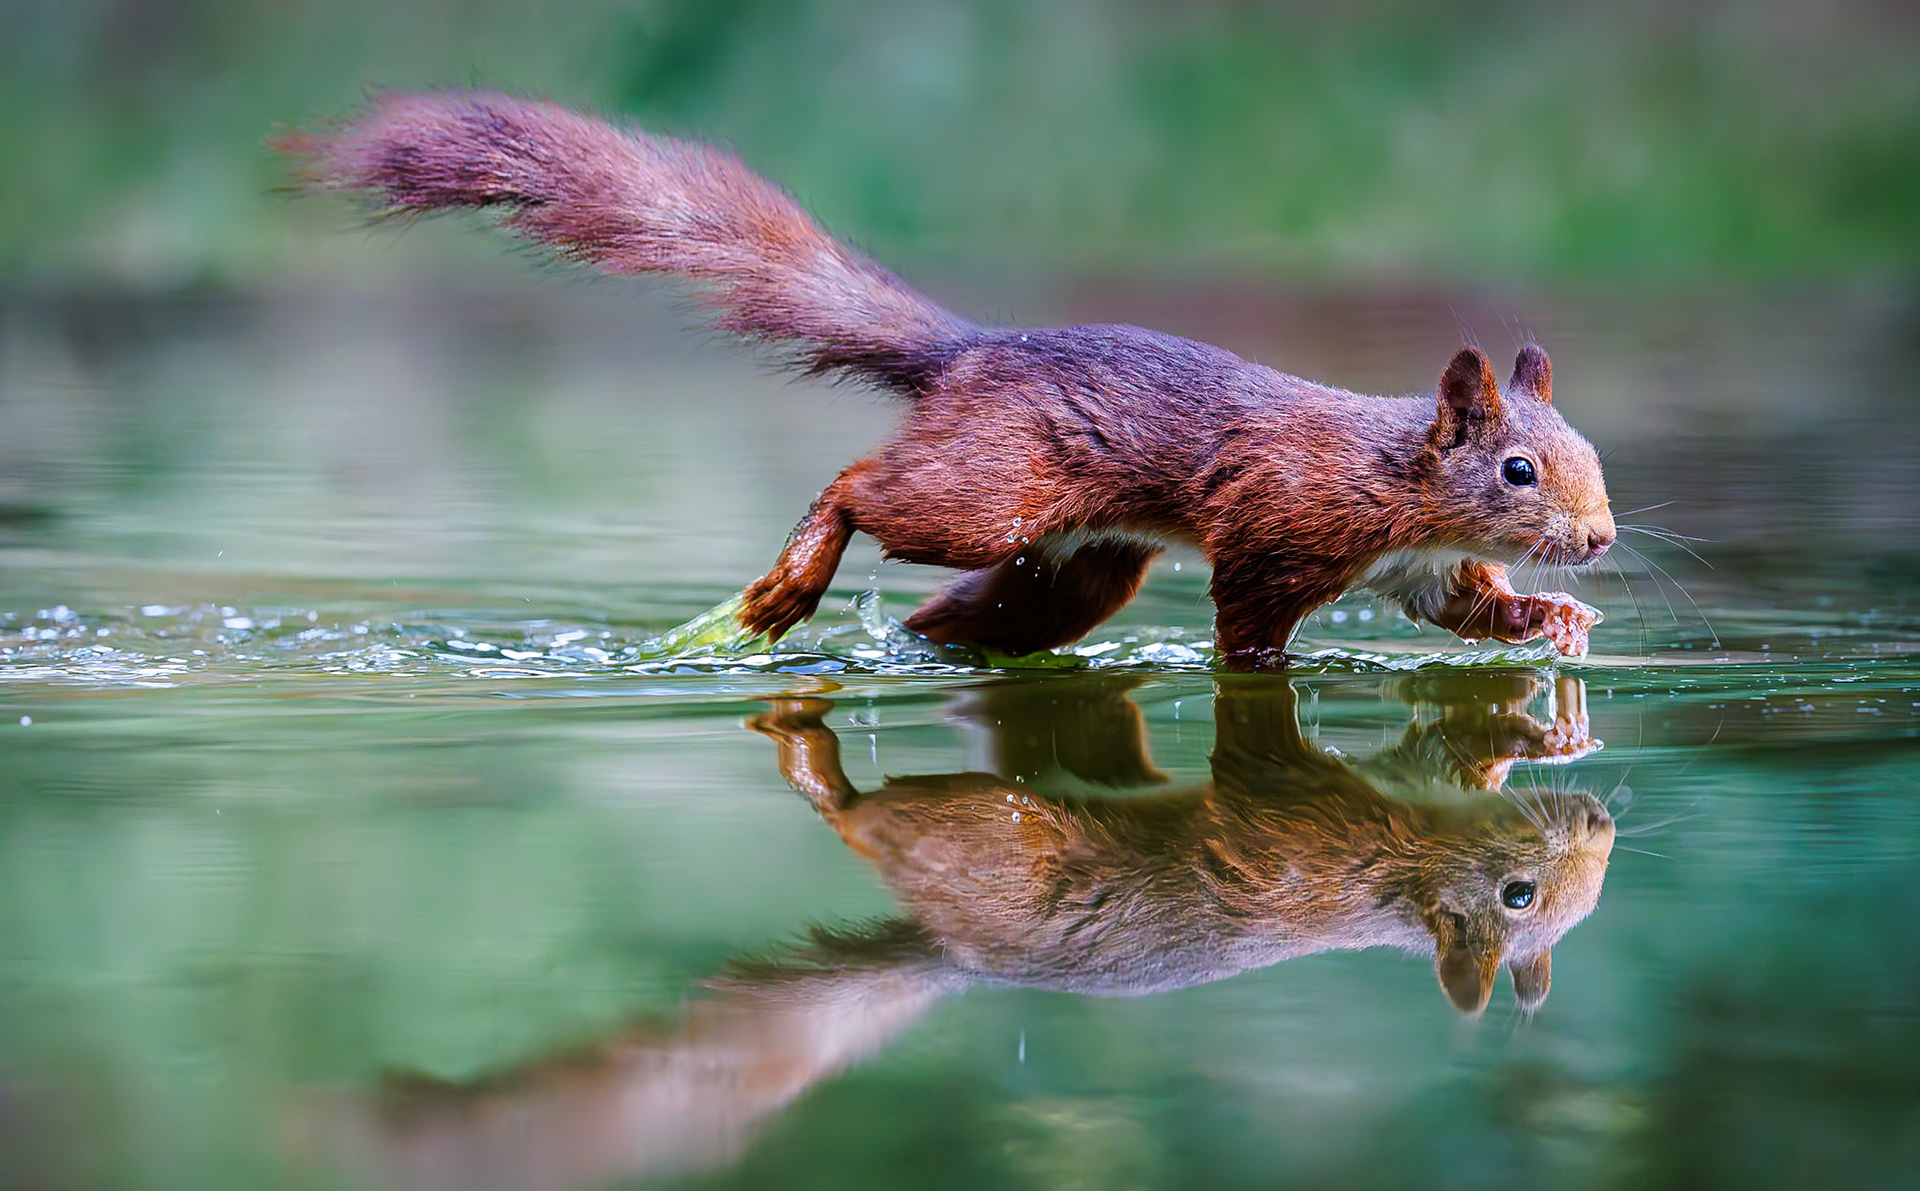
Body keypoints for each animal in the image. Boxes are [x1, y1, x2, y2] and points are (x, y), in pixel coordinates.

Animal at [281, 91, 1613, 663]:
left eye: (1594, 459)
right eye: (1517, 469)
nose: (1600, 540)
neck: (1399, 478)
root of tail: (967, 351)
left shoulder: (1418, 574)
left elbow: (1466, 610)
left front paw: (1554, 621)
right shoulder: (1281, 526)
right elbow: (1247, 620)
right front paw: (1263, 673)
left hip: (1075, 567)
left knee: (974, 619)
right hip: (991, 497)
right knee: (863, 488)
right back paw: (790, 581)